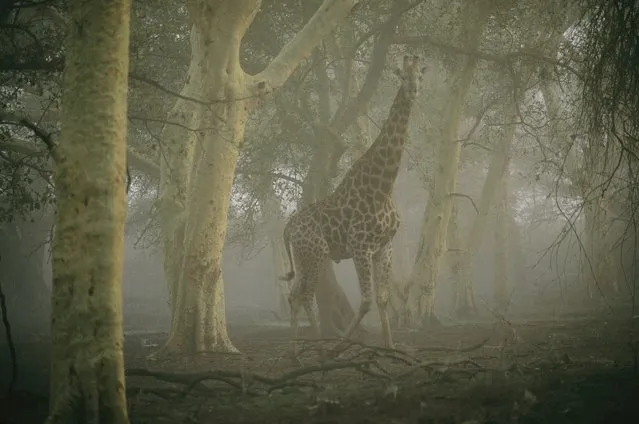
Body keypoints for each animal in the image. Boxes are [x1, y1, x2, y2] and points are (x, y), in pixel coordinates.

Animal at [282, 55, 424, 354]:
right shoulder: (361, 246)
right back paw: (317, 342)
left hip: (303, 258)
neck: (382, 187)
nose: (413, 90)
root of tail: (287, 228)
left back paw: (293, 344)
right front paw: (341, 343)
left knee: (294, 295)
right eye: (402, 76)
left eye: (420, 75)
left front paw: (389, 346)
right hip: (317, 254)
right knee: (305, 295)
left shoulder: (384, 247)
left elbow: (382, 298)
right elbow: (367, 301)